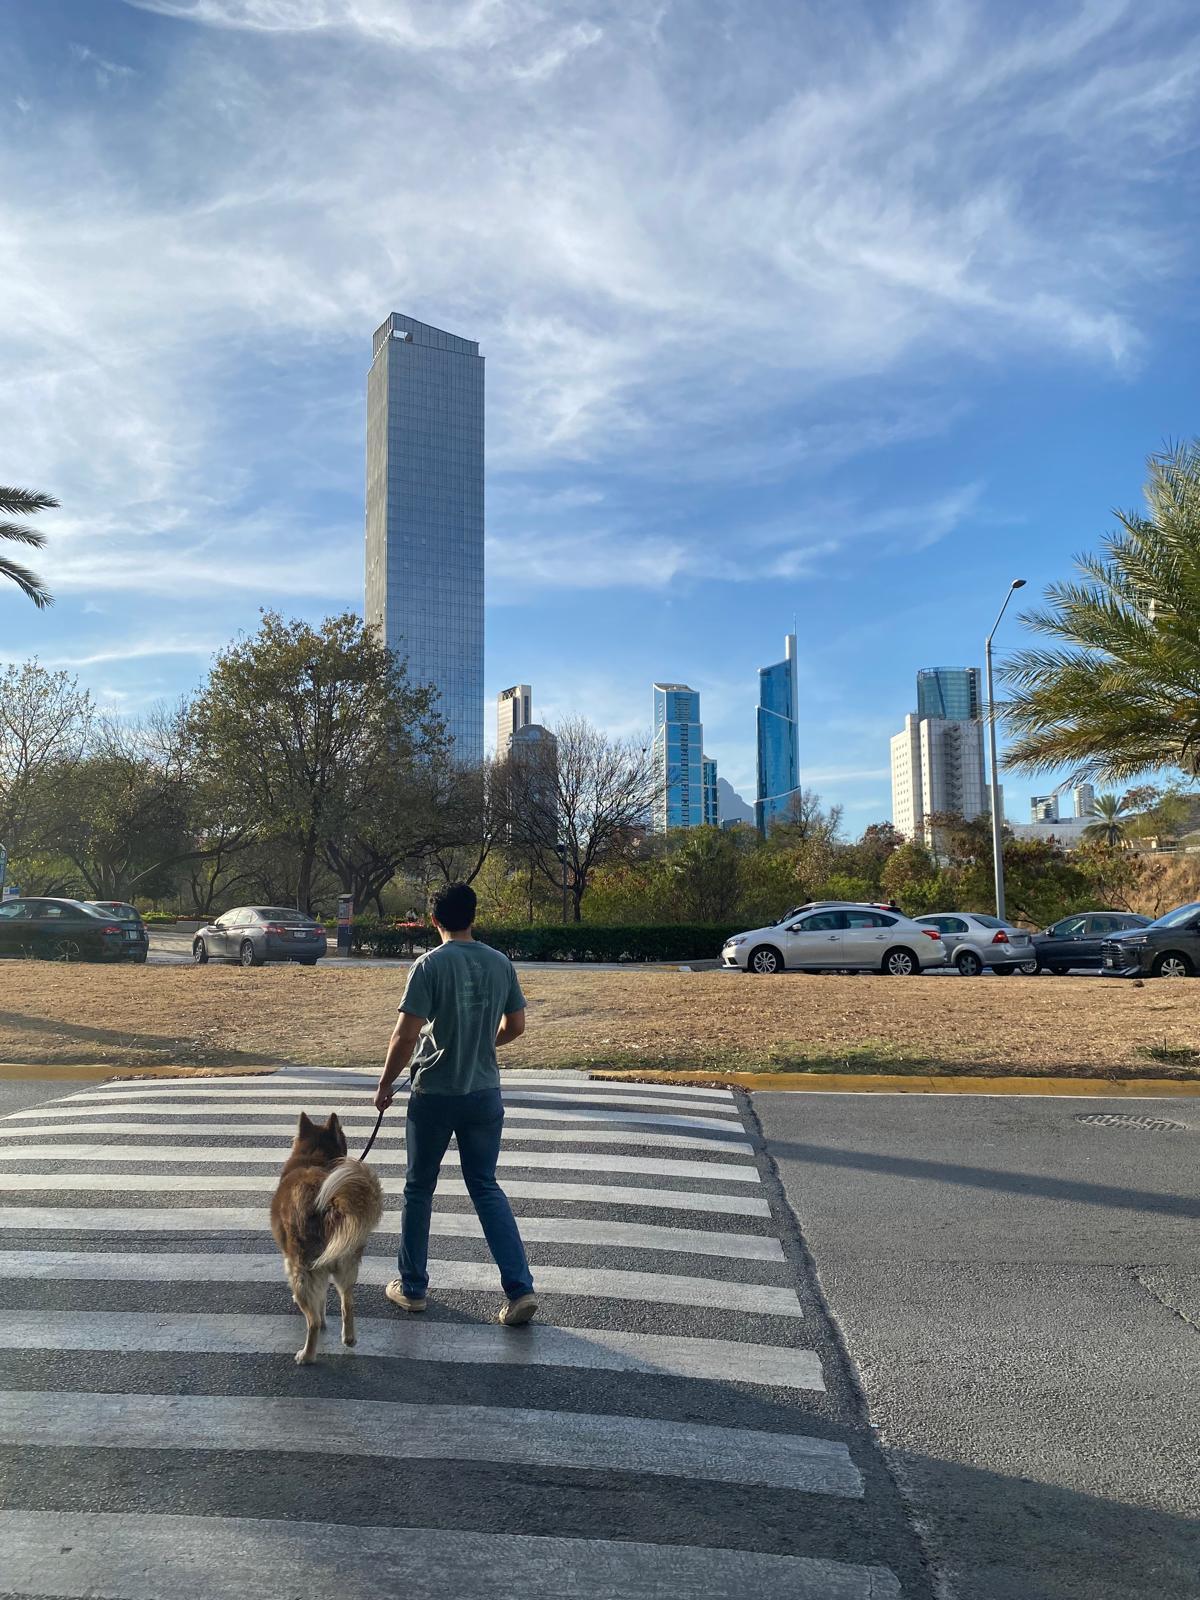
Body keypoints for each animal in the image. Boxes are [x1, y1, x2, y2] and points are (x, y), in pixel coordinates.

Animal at [269, 1111, 384, 1364]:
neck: (313, 1157)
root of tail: (332, 1208)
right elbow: (322, 1299)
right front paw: (325, 1320)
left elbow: (317, 1305)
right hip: (347, 1264)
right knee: (347, 1302)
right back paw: (349, 1338)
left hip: (303, 1269)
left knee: (310, 1321)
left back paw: (306, 1355)